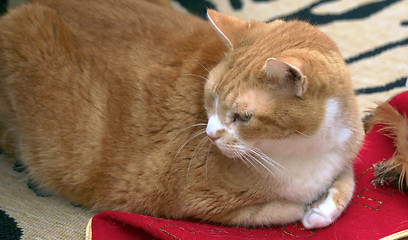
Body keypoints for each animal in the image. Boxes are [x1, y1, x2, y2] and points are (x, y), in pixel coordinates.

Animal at [0, 0, 364, 229]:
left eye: (243, 117)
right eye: (211, 97)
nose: (210, 134)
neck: (303, 149)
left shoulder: (345, 150)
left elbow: (348, 180)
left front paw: (324, 207)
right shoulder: (191, 201)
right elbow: (277, 211)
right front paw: (306, 207)